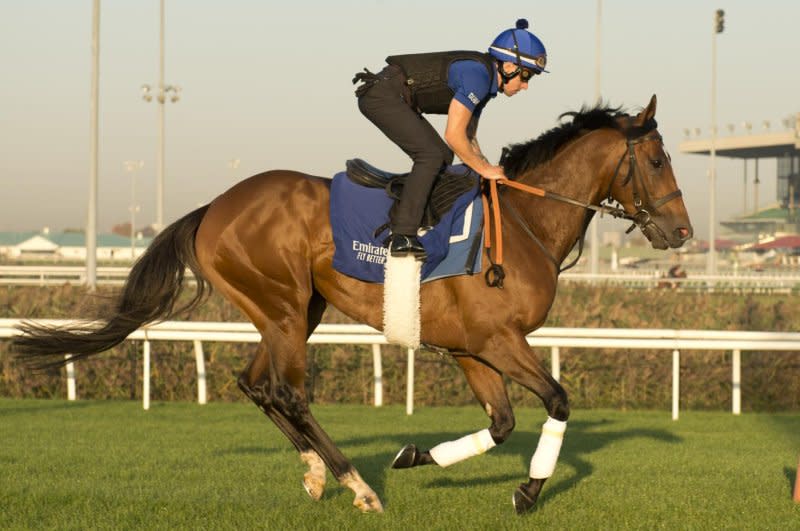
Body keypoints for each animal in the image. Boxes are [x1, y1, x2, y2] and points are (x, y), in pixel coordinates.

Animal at [12, 94, 692, 516]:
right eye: (658, 159)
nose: (682, 231)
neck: (522, 221)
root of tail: (213, 207)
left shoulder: (472, 349)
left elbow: (501, 423)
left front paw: (417, 455)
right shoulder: (498, 342)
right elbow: (557, 401)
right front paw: (527, 492)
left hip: (291, 311)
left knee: (253, 382)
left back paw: (317, 473)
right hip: (285, 306)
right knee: (287, 391)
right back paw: (358, 487)